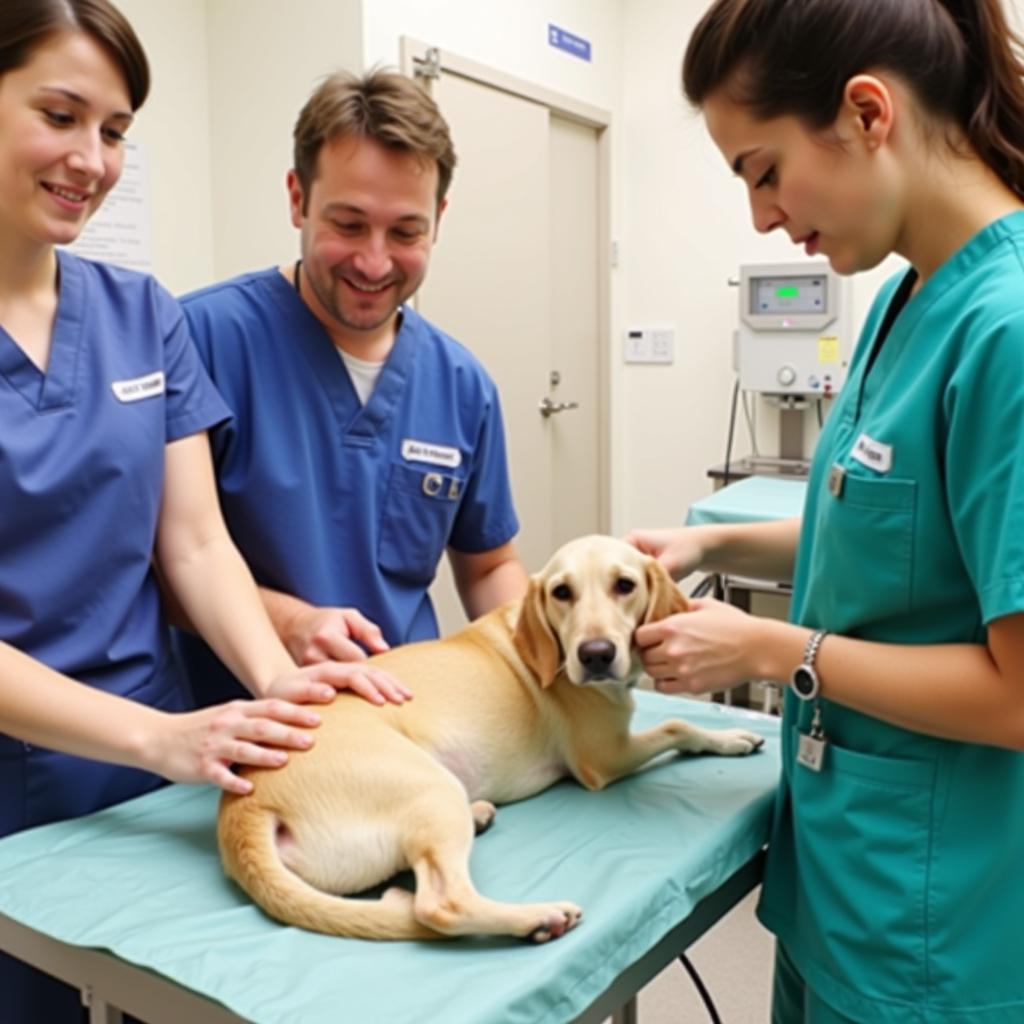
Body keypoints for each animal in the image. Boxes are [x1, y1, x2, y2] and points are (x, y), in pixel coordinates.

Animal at [220, 536, 765, 942]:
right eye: (562, 592)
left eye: (625, 585)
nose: (594, 655)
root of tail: (243, 808)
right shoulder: (605, 757)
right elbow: (676, 726)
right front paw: (730, 736)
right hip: (429, 788)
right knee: (440, 904)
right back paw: (537, 917)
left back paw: (480, 814)